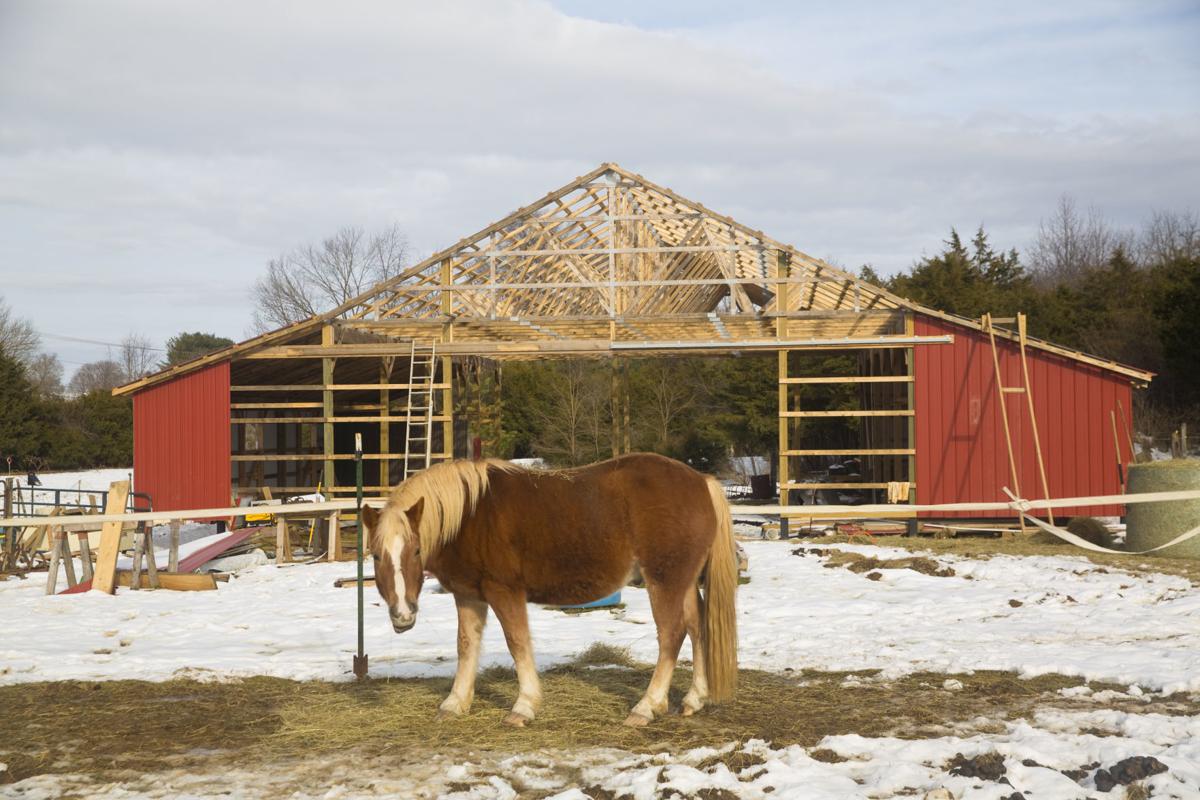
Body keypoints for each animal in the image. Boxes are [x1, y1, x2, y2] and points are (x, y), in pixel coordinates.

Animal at [360, 453, 734, 729]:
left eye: (415, 551)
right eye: (376, 555)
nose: (403, 615)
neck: (469, 515)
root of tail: (701, 481)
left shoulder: (504, 591)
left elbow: (517, 643)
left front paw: (524, 706)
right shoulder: (468, 594)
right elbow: (466, 645)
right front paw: (455, 703)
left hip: (664, 581)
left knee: (672, 635)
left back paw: (646, 707)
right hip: (684, 582)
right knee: (697, 629)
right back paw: (693, 699)